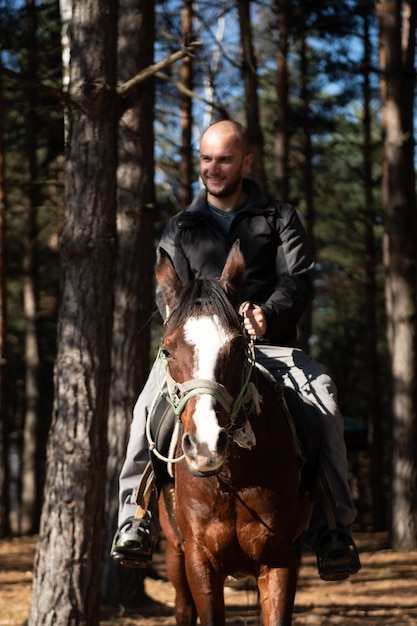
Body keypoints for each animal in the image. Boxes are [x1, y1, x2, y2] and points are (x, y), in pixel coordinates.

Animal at [155, 241, 312, 620]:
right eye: (167, 350)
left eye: (239, 348)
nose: (205, 445)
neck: (232, 480)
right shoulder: (200, 562)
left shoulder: (280, 560)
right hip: (174, 553)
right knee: (183, 608)